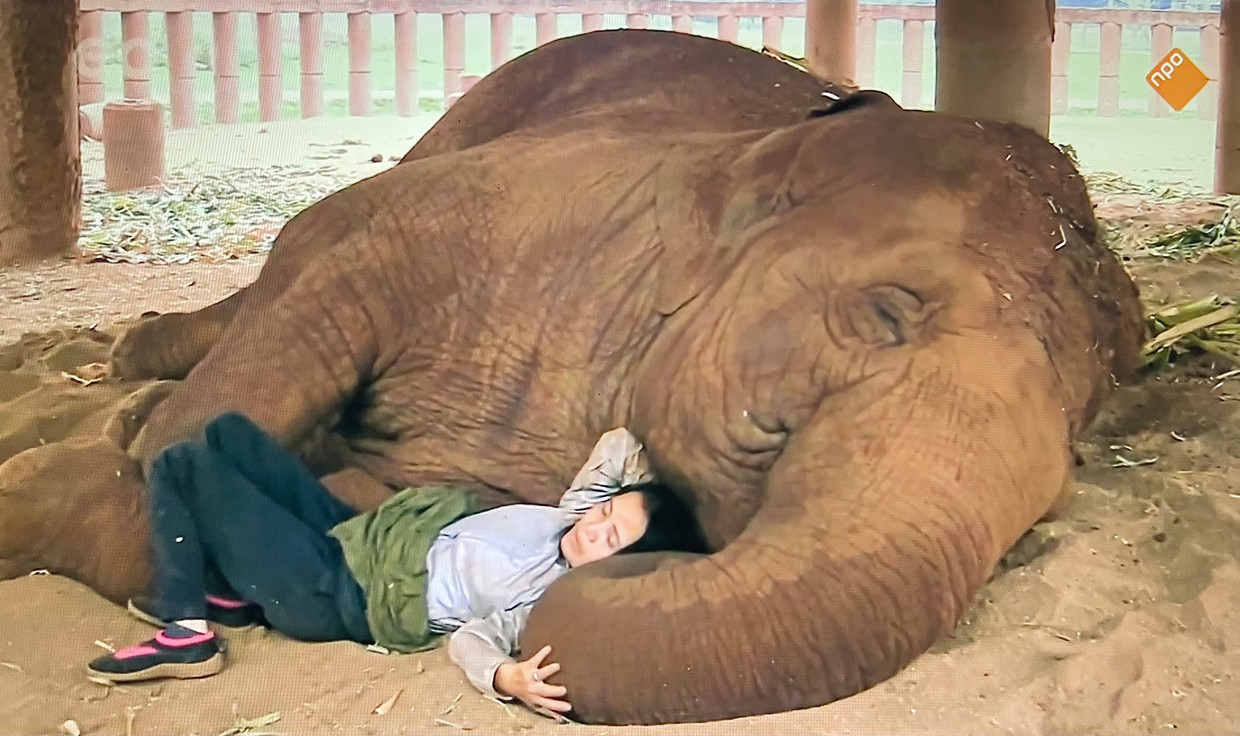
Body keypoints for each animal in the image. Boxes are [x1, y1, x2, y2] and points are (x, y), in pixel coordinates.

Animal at [0, 29, 1143, 725]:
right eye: (886, 317)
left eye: (1056, 495)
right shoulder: (496, 213)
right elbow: (304, 306)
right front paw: (95, 456)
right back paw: (130, 370)